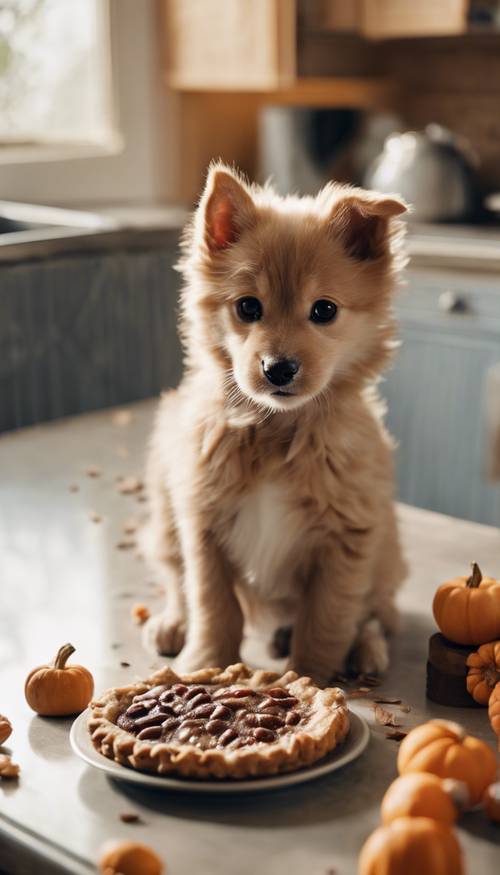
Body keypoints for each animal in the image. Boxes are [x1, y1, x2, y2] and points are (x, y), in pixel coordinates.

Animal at [143, 163, 408, 684]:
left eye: (324, 310)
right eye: (248, 307)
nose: (278, 369)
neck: (275, 430)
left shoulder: (349, 538)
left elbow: (327, 619)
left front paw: (310, 677)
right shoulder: (202, 525)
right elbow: (213, 605)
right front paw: (205, 662)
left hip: (386, 549)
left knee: (374, 612)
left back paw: (365, 650)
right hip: (164, 516)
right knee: (174, 579)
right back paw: (173, 622)